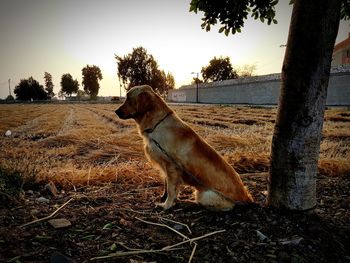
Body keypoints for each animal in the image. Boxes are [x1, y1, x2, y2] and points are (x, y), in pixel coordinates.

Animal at [116, 85, 253, 211]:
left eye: (128, 98)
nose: (116, 111)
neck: (157, 124)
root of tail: (246, 199)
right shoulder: (167, 167)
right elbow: (167, 186)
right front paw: (164, 199)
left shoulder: (171, 166)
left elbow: (171, 189)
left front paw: (166, 205)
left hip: (206, 194)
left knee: (201, 203)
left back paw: (188, 202)